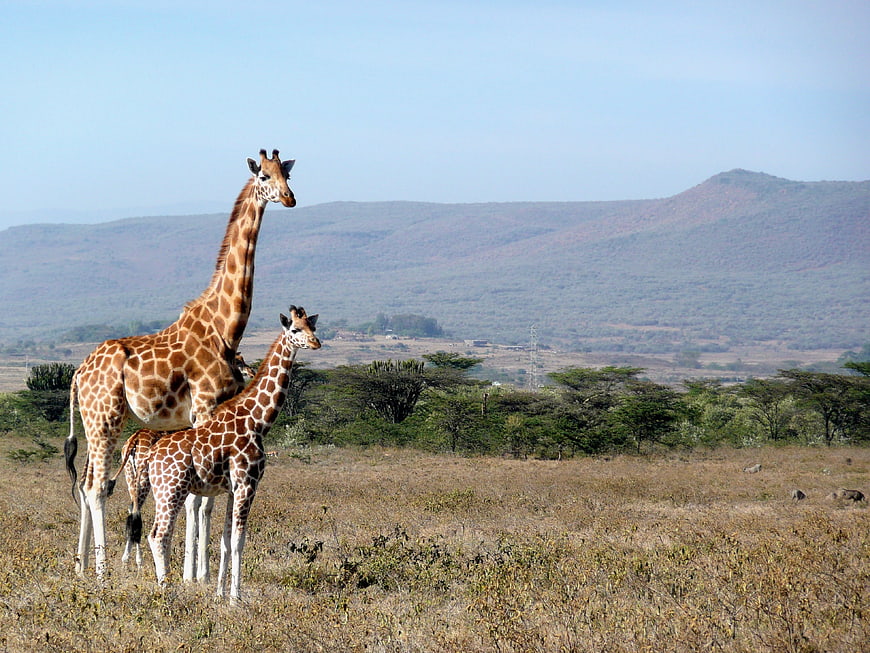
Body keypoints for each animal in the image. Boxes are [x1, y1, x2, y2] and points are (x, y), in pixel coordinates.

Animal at [66, 149, 296, 577]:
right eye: (264, 176)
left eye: (288, 174)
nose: (289, 198)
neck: (226, 327)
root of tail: (77, 373)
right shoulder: (204, 406)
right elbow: (199, 500)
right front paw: (197, 575)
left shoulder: (206, 416)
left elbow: (200, 498)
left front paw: (195, 573)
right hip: (106, 417)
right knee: (96, 487)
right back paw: (103, 573)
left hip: (94, 420)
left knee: (88, 483)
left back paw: (81, 568)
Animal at [132, 306, 320, 603]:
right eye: (295, 329)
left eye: (313, 327)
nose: (316, 343)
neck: (258, 420)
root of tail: (151, 456)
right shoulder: (247, 483)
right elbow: (239, 541)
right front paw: (235, 597)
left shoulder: (233, 488)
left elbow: (225, 540)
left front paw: (220, 593)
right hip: (171, 488)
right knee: (158, 535)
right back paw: (167, 589)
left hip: (165, 490)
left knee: (159, 533)